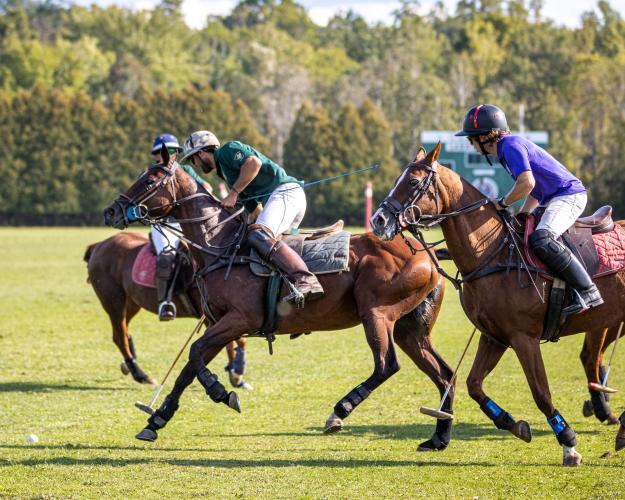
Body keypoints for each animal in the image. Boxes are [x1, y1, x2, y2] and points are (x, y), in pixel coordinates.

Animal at [84, 232, 250, 388]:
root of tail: (99, 245)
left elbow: (232, 340)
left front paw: (235, 374)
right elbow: (235, 339)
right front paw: (236, 373)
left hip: (131, 302)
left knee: (123, 332)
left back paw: (129, 366)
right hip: (114, 301)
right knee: (120, 336)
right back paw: (140, 375)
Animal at [103, 153, 454, 450]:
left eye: (150, 180)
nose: (111, 211)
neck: (219, 244)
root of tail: (427, 253)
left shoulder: (239, 319)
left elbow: (193, 354)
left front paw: (221, 392)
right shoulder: (220, 323)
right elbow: (190, 365)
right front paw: (155, 420)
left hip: (377, 314)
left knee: (387, 365)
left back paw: (339, 411)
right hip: (410, 329)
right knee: (444, 374)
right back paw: (439, 437)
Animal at [370, 144, 624, 464]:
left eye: (414, 183)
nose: (378, 220)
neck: (492, 253)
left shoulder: (524, 337)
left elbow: (541, 393)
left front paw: (568, 443)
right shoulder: (494, 336)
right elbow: (474, 385)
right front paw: (512, 423)